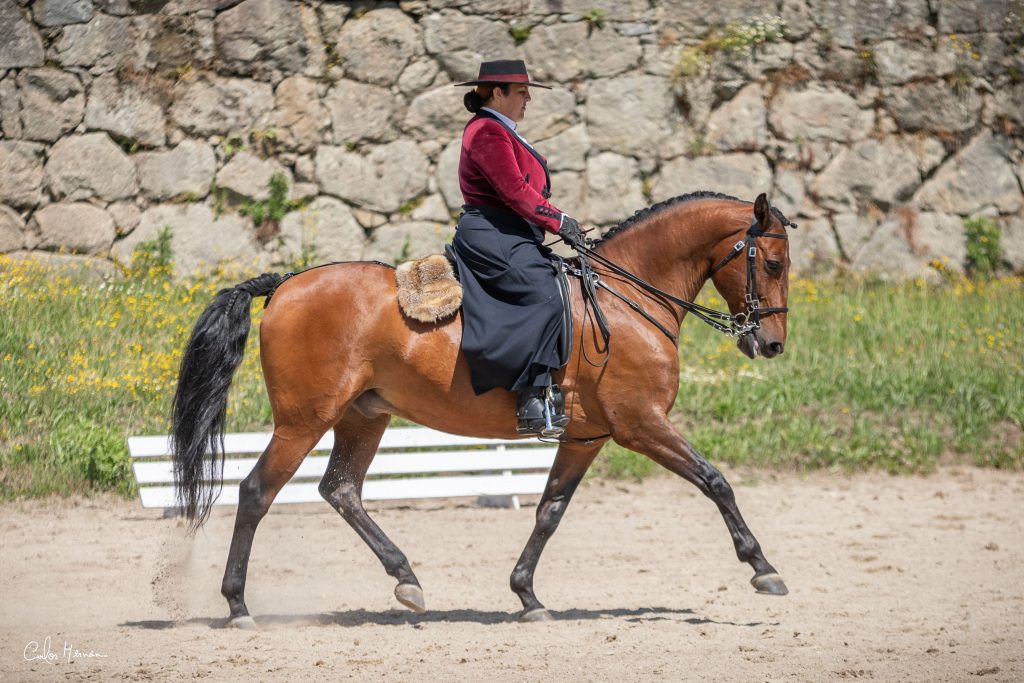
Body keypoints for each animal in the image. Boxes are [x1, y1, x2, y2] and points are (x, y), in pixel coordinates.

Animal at [169, 189, 790, 626]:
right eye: (775, 263)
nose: (772, 345)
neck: (626, 299)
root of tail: (286, 284)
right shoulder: (642, 425)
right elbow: (715, 481)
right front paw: (763, 569)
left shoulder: (586, 437)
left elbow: (549, 511)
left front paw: (527, 594)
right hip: (304, 421)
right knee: (257, 492)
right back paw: (238, 606)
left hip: (363, 415)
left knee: (341, 490)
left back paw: (407, 579)